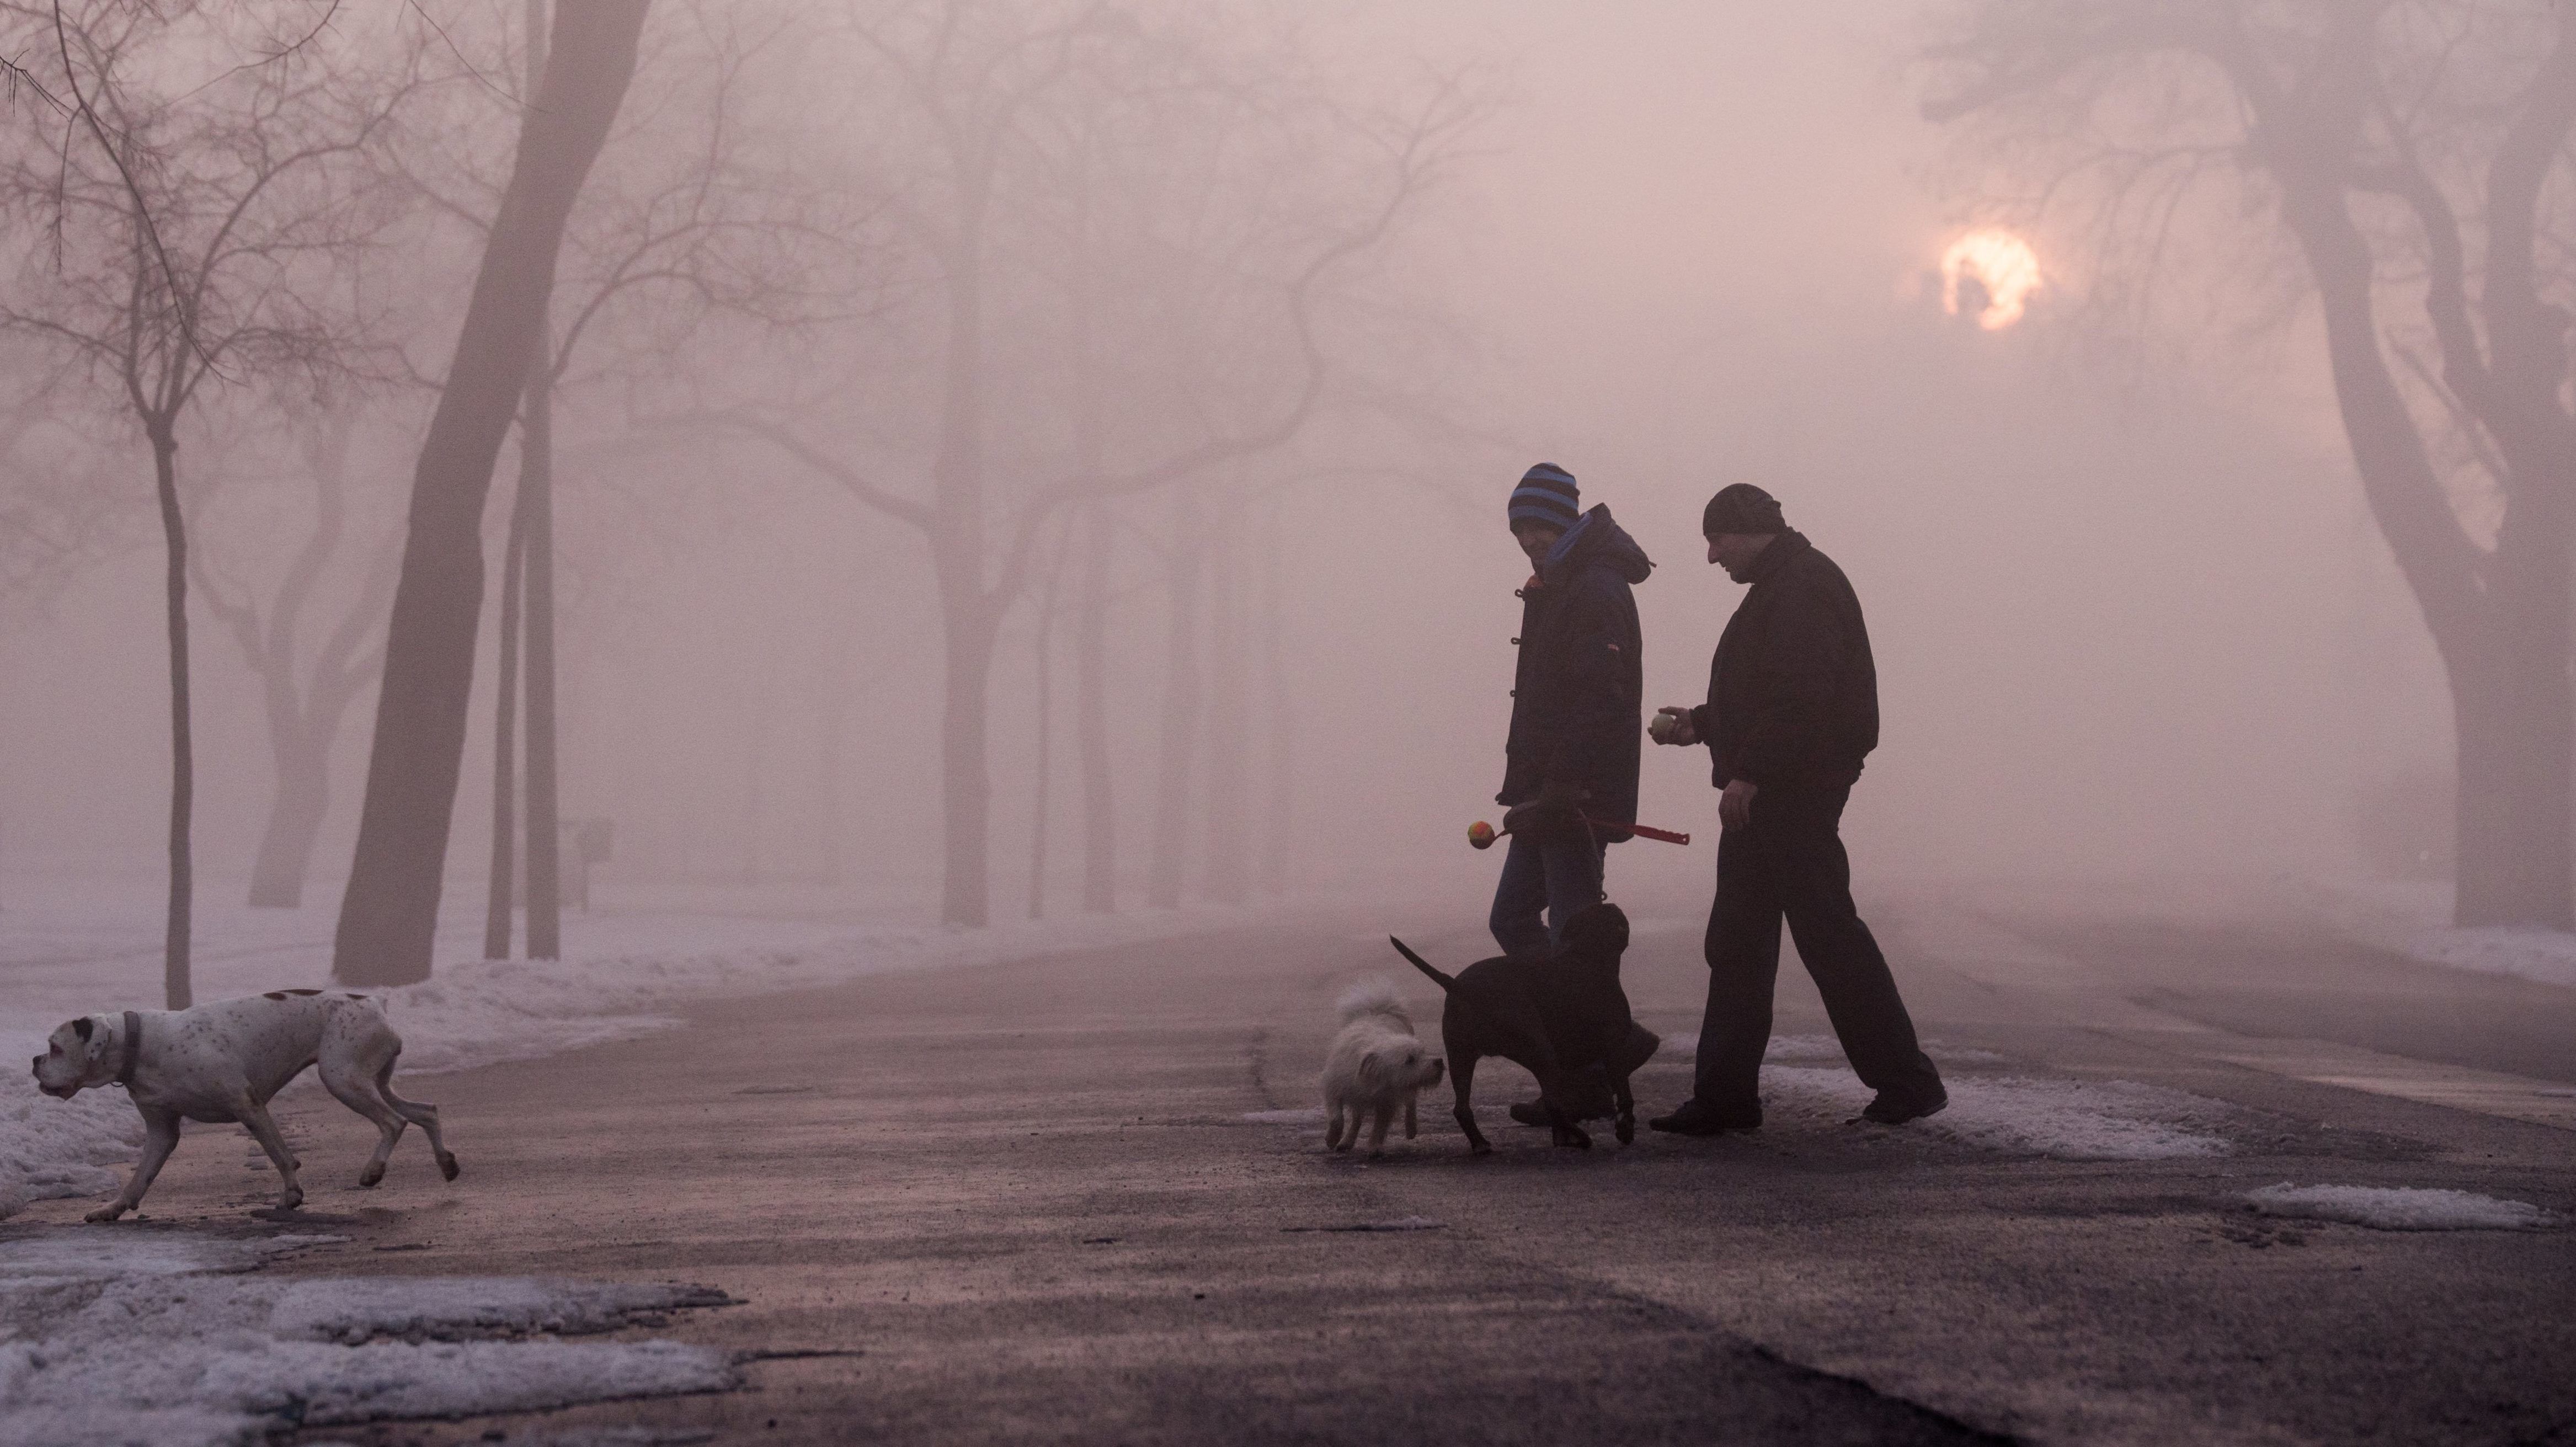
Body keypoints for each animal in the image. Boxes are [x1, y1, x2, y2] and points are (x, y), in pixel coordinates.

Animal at [31, 983, 458, 1210]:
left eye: (55, 1047)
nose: (34, 1060)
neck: (143, 1047)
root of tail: (373, 1003)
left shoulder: (247, 1105)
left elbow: (279, 1154)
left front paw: (291, 1194)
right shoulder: (162, 1132)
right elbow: (140, 1177)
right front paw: (113, 1209)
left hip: (343, 1080)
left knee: (395, 1122)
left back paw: (374, 1171)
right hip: (373, 1083)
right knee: (426, 1111)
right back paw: (446, 1163)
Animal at [1329, 978, 1453, 1148]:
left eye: (1423, 1052)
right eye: (1410, 1060)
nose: (1439, 1062)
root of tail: (1379, 1010)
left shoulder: (1388, 1101)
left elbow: (1380, 1125)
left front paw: (1374, 1147)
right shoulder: (1336, 1088)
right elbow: (1337, 1118)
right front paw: (1333, 1138)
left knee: (1411, 1102)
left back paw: (1411, 1127)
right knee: (1357, 1117)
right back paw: (1347, 1141)